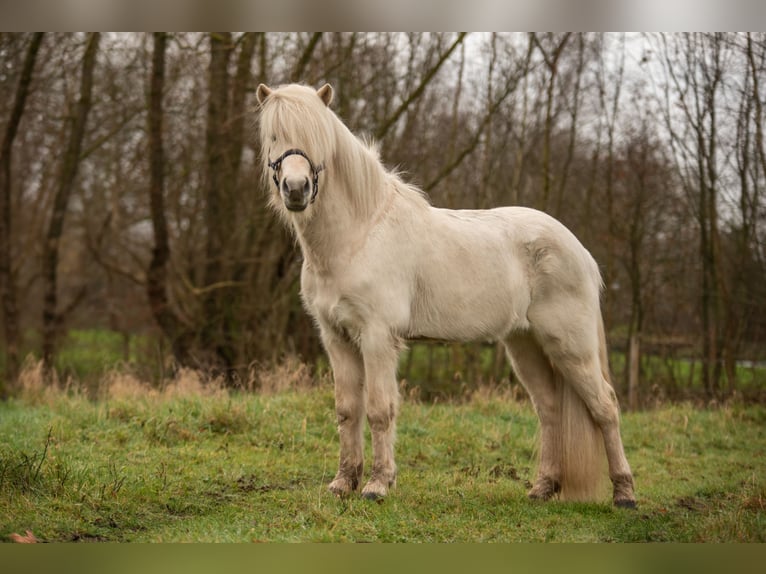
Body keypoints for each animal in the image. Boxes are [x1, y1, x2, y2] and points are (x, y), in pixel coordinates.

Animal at [255, 83, 640, 510]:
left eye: (318, 138)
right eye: (273, 136)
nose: (296, 190)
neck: (359, 233)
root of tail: (580, 251)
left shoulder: (377, 337)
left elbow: (379, 410)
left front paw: (377, 485)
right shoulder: (336, 337)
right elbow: (347, 410)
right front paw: (343, 482)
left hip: (571, 346)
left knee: (605, 408)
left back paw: (624, 494)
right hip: (527, 346)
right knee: (551, 409)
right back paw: (542, 488)